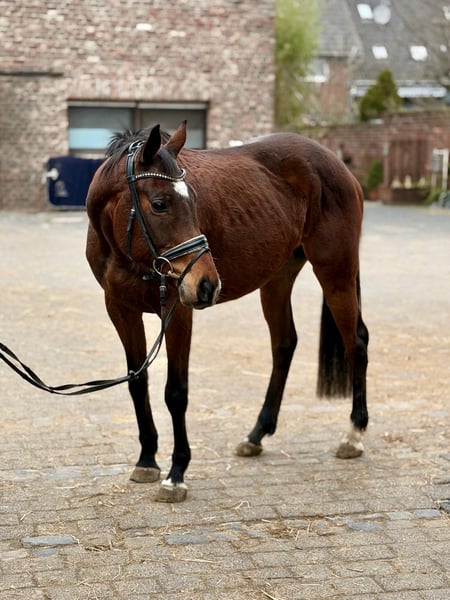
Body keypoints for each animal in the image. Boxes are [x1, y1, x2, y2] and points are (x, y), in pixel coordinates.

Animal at [85, 121, 369, 502]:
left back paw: (353, 435)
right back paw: (256, 435)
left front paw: (176, 474)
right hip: (278, 278)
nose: (207, 284)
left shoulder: (177, 310)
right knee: (284, 344)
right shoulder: (120, 309)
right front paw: (147, 460)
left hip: (336, 273)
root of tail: (338, 165)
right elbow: (137, 382)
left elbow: (176, 392)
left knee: (356, 344)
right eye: (159, 204)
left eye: (193, 201)